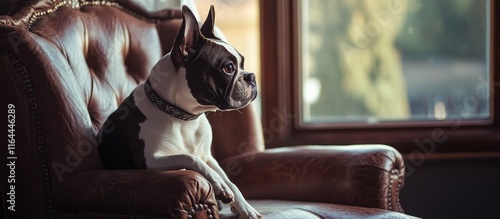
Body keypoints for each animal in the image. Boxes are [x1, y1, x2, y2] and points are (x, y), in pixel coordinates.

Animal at [97, 4, 262, 219]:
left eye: (242, 63)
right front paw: (218, 185)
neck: (184, 117)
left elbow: (229, 179)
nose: (251, 76)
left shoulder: (208, 156)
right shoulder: (150, 160)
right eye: (228, 68)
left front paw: (245, 207)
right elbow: (190, 158)